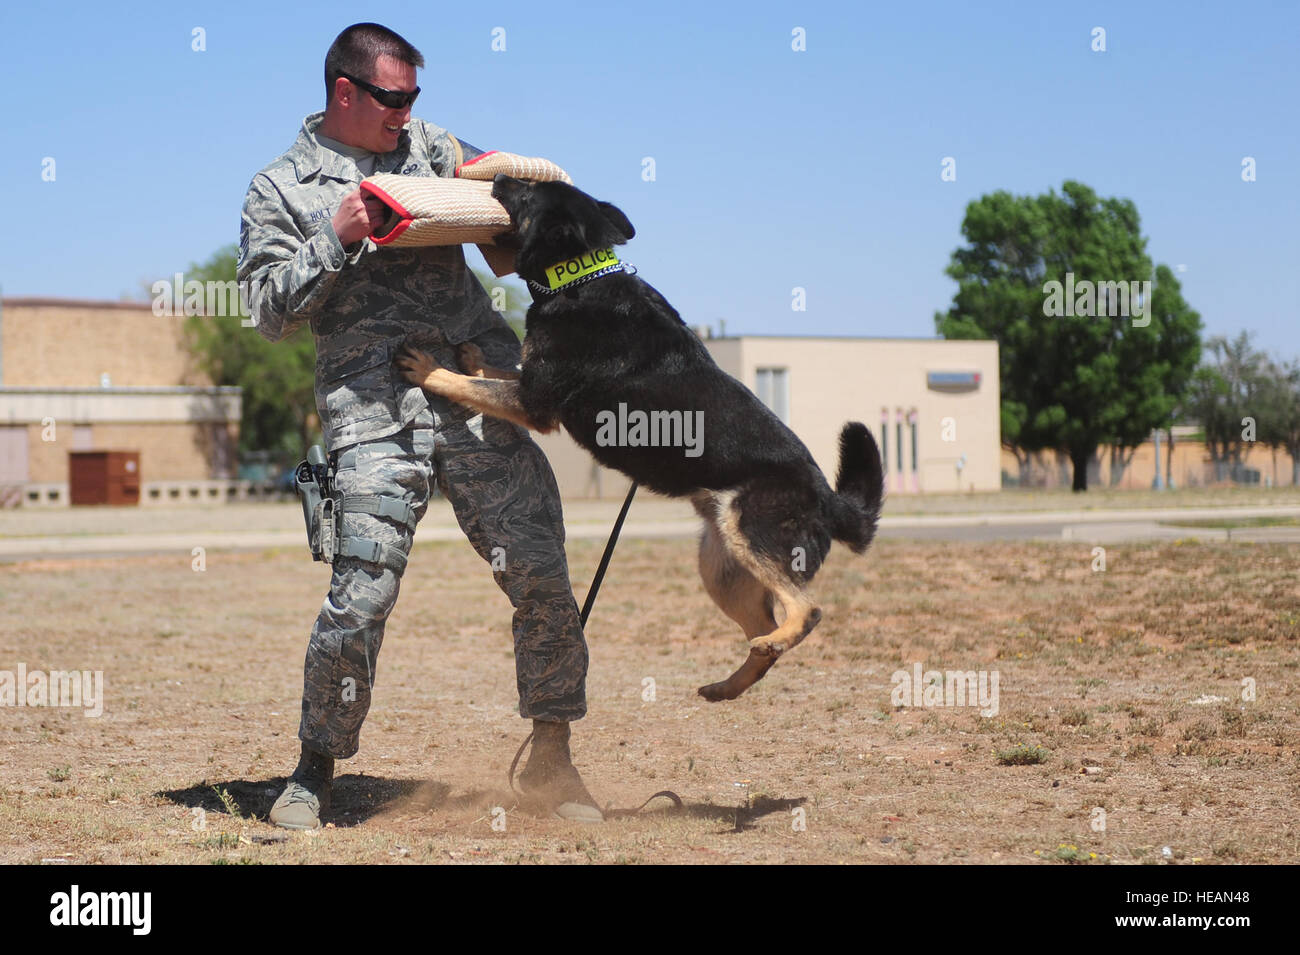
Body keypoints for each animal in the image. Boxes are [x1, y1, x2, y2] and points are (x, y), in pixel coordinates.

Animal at [395, 175, 883, 701]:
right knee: (762, 630)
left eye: (526, 193)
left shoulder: (536, 404)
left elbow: (472, 385)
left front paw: (429, 368)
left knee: (806, 610)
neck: (581, 278)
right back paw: (729, 684)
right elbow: (493, 372)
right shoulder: (531, 388)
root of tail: (830, 500)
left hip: (750, 532)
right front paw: (471, 355)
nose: (499, 178)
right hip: (722, 566)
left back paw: (773, 643)